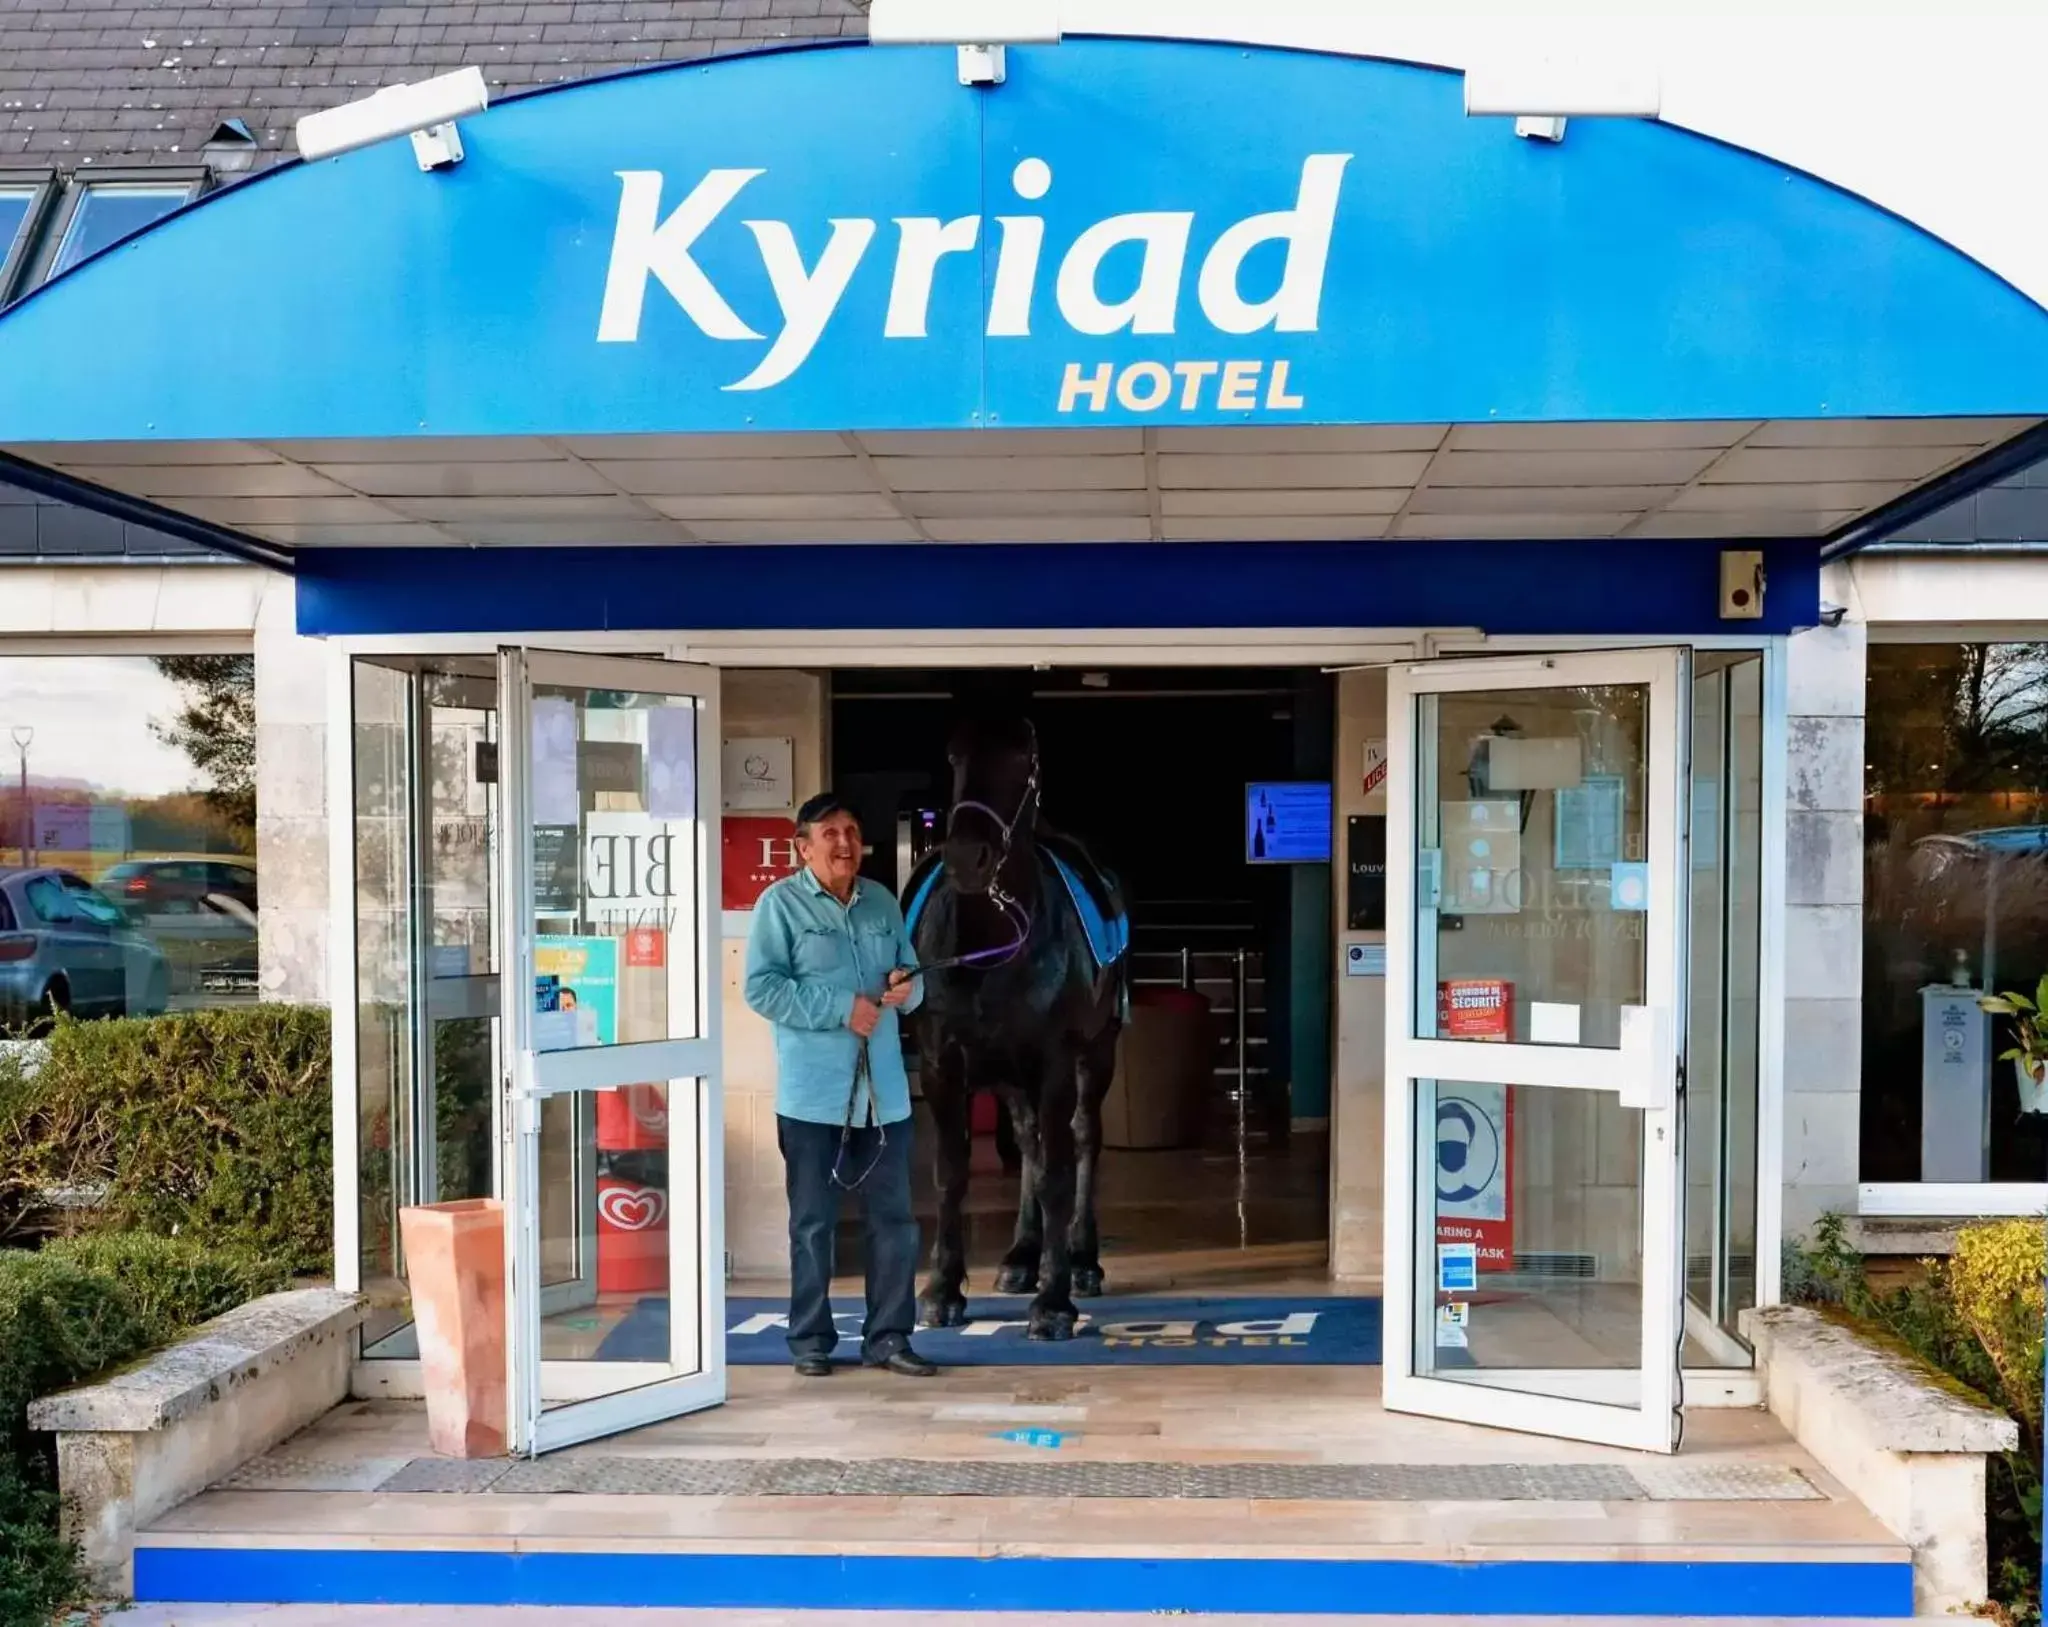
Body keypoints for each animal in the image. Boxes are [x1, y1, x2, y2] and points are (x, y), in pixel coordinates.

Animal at [905, 717, 1130, 1336]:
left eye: (1023, 759)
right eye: (955, 756)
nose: (968, 857)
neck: (993, 943)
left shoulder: (1054, 1063)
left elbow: (1057, 1172)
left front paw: (1054, 1301)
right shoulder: (941, 1064)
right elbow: (950, 1172)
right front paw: (941, 1289)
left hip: (1096, 1055)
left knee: (1082, 1137)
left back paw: (1082, 1260)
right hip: (1007, 1073)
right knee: (1028, 1141)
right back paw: (1020, 1257)